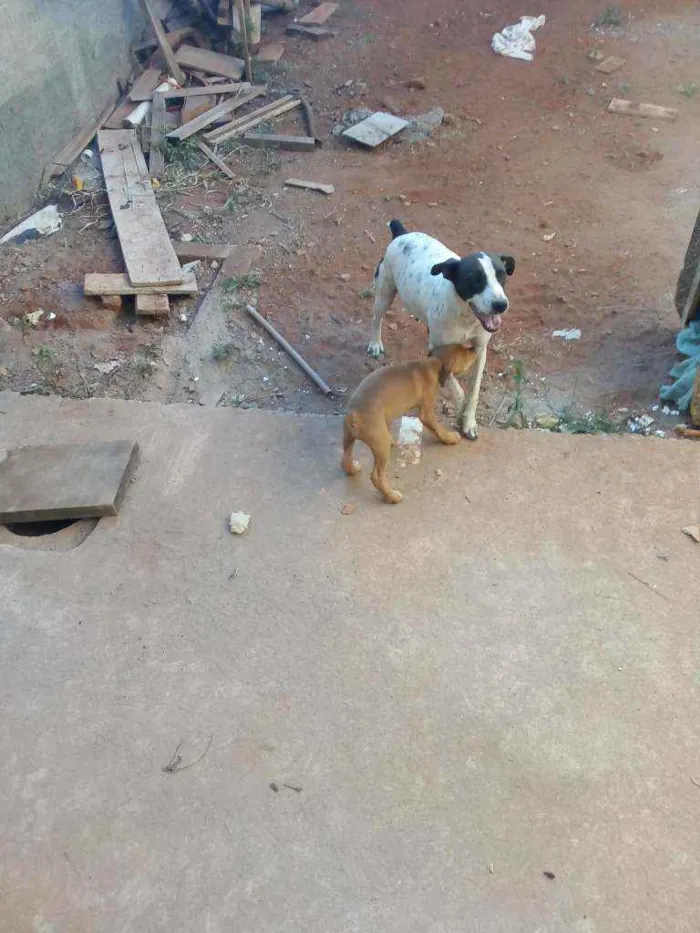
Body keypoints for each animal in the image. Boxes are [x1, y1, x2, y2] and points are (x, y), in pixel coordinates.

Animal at [344, 342, 478, 502]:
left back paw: (353, 468)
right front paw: (450, 438)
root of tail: (354, 414)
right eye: (465, 353)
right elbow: (438, 429)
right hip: (380, 445)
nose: (475, 348)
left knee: (346, 458)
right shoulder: (426, 414)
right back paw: (392, 496)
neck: (432, 364)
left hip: (349, 437)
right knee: (376, 476)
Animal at [366, 220, 516, 438]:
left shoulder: (480, 350)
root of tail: (402, 233)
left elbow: (473, 391)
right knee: (377, 318)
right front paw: (460, 412)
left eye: (502, 276)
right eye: (474, 279)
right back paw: (375, 344)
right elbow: (457, 388)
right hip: (384, 293)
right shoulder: (438, 351)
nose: (501, 305)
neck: (465, 316)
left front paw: (469, 421)